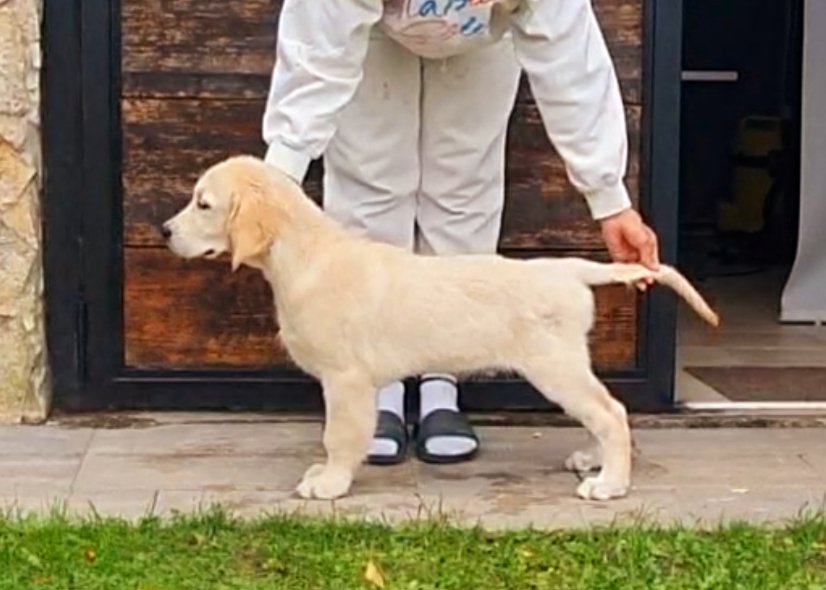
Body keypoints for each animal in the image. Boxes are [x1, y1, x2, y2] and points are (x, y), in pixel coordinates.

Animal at [163, 155, 719, 502]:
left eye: (204, 204)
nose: (163, 232)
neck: (305, 257)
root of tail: (568, 269)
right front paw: (327, 475)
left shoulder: (344, 379)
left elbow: (339, 436)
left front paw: (330, 483)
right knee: (603, 413)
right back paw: (594, 460)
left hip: (554, 366)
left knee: (612, 413)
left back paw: (610, 484)